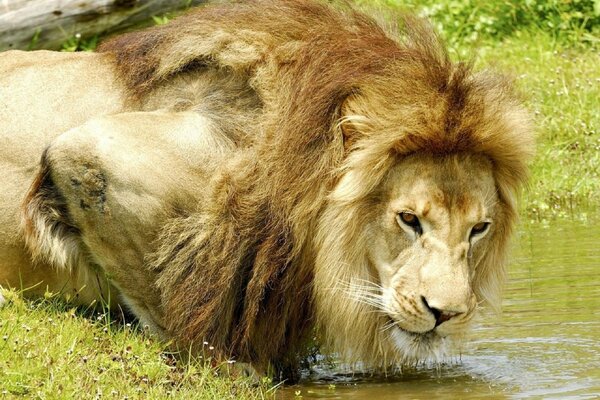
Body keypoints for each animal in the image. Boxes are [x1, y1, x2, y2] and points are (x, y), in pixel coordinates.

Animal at [0, 0, 536, 378]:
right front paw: (234, 364)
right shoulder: (84, 154)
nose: (447, 313)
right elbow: (173, 304)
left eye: (479, 228)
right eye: (409, 220)